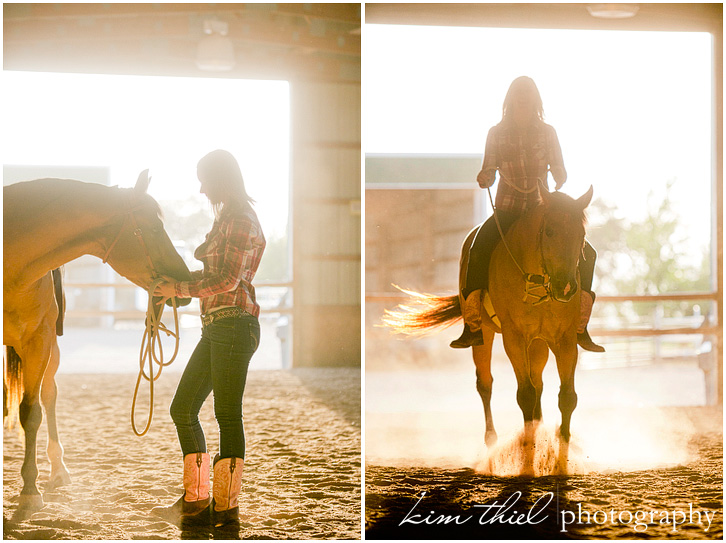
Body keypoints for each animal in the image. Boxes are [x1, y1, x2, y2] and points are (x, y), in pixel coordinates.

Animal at [4, 172, 192, 512]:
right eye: (154, 228)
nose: (183, 281)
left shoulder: (38, 341)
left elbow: (31, 413)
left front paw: (30, 490)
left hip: (50, 349)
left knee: (49, 395)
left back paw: (58, 470)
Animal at [384, 185, 596, 474]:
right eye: (550, 231)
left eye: (581, 235)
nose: (565, 288)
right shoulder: (514, 339)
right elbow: (525, 395)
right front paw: (527, 462)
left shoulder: (564, 341)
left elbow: (567, 397)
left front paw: (560, 463)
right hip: (484, 335)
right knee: (486, 385)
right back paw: (493, 444)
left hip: (538, 344)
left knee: (538, 383)